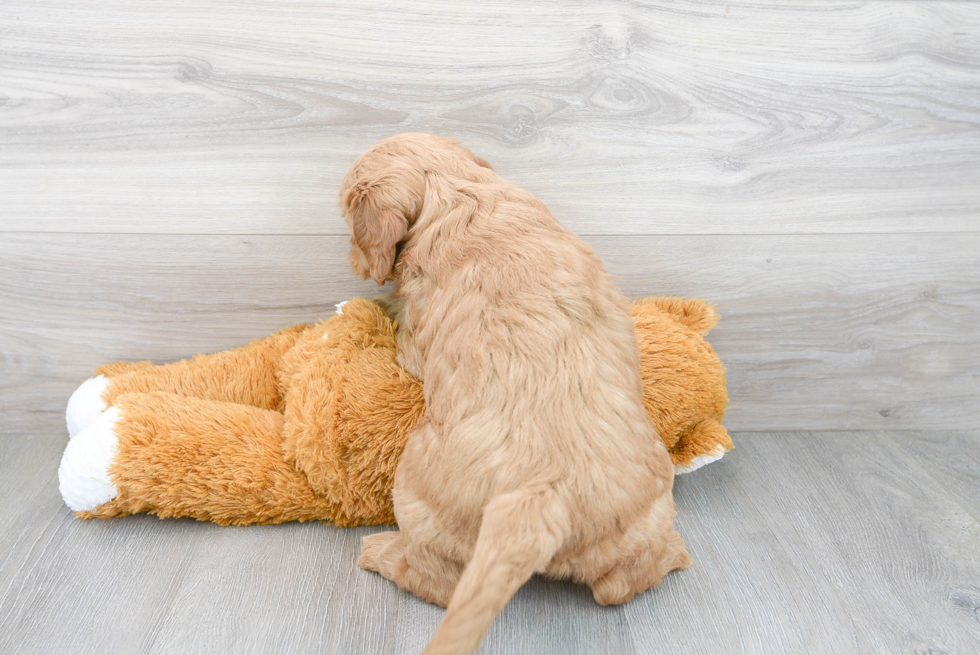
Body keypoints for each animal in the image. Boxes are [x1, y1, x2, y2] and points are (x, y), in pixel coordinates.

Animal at [340, 135, 692, 655]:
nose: (353, 262)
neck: (458, 194)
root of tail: (539, 496)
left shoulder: (417, 344)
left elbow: (403, 332)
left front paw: (383, 306)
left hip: (416, 501)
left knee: (435, 580)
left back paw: (380, 552)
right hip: (644, 518)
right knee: (618, 586)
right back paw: (674, 554)